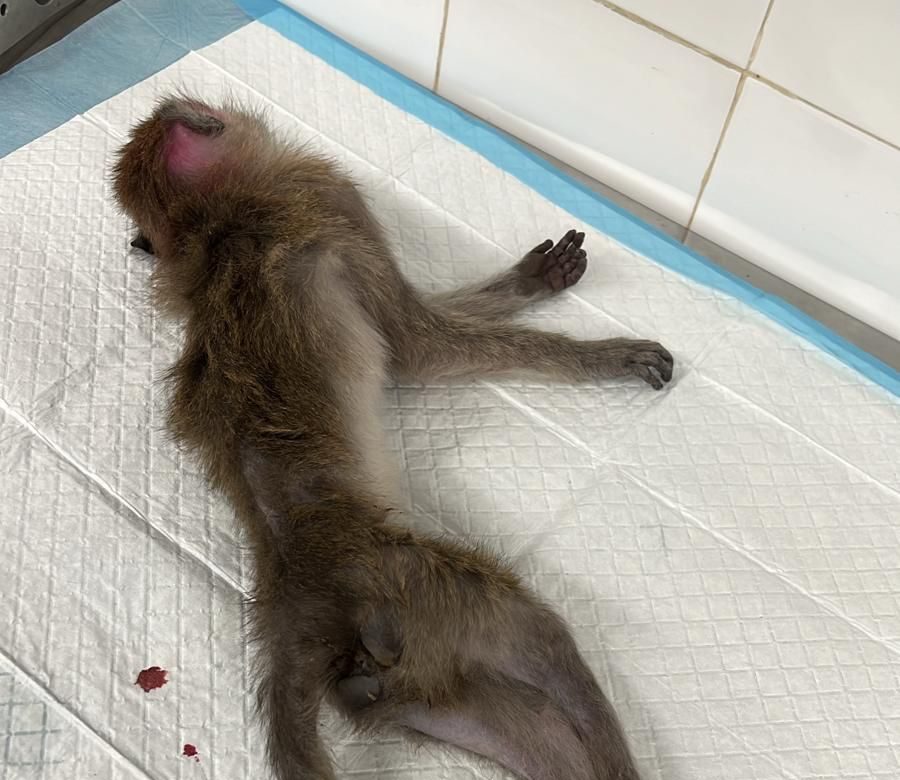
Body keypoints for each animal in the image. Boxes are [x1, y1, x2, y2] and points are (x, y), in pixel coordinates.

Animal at [112, 94, 672, 780]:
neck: (219, 224)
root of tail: (295, 591)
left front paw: (537, 277)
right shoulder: (331, 200)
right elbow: (416, 349)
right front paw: (597, 352)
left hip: (406, 667)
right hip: (424, 592)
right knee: (543, 642)